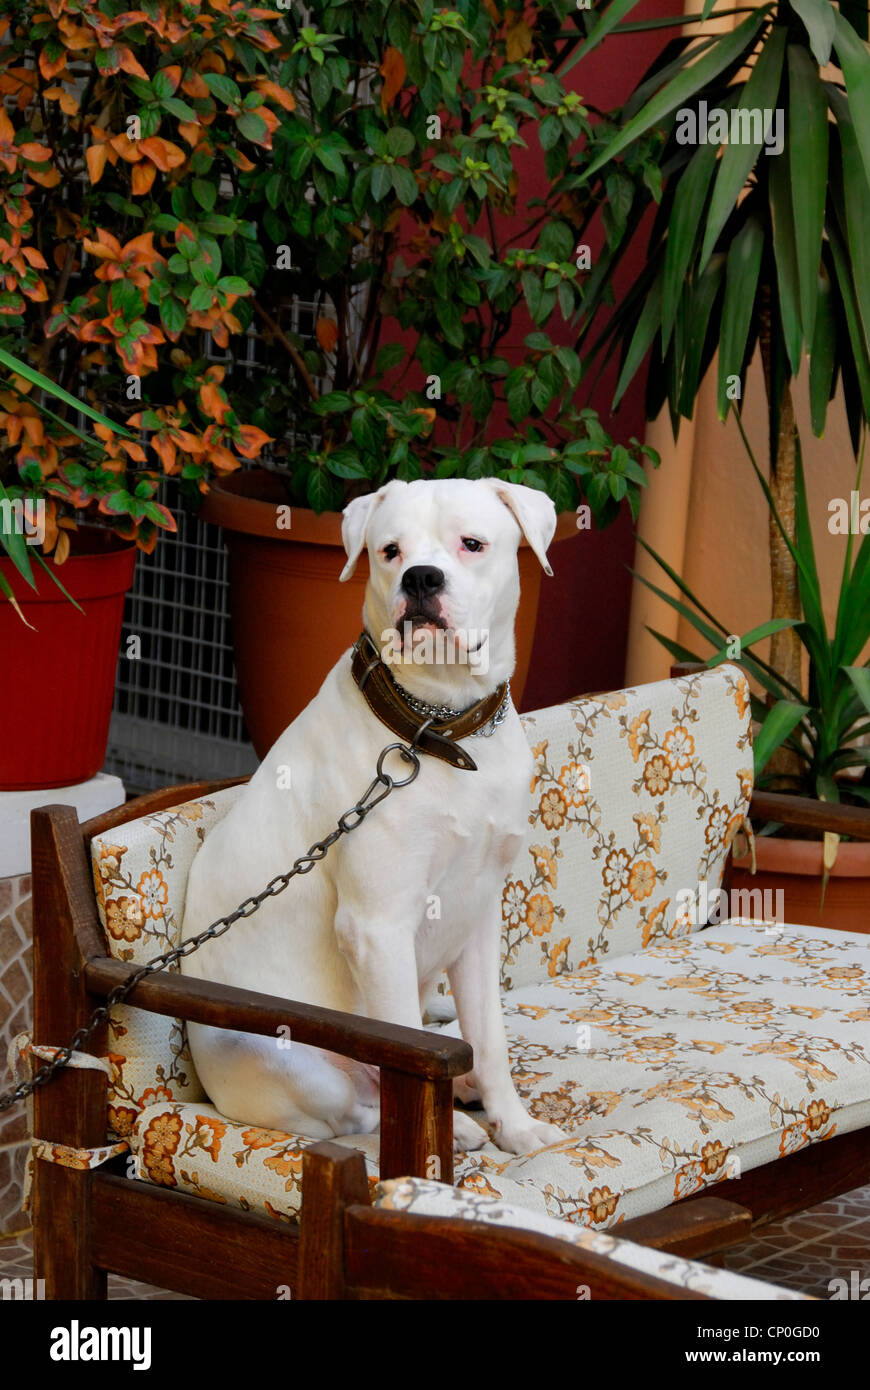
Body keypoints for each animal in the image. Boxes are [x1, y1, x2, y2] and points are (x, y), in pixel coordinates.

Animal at [179, 475, 567, 1150]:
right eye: (390, 551)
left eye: (471, 544)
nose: (421, 578)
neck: (438, 731)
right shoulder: (377, 927)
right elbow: (402, 1042)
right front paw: (451, 1132)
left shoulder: (476, 914)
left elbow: (490, 1039)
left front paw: (516, 1128)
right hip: (285, 1057)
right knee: (354, 1111)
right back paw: (449, 1126)